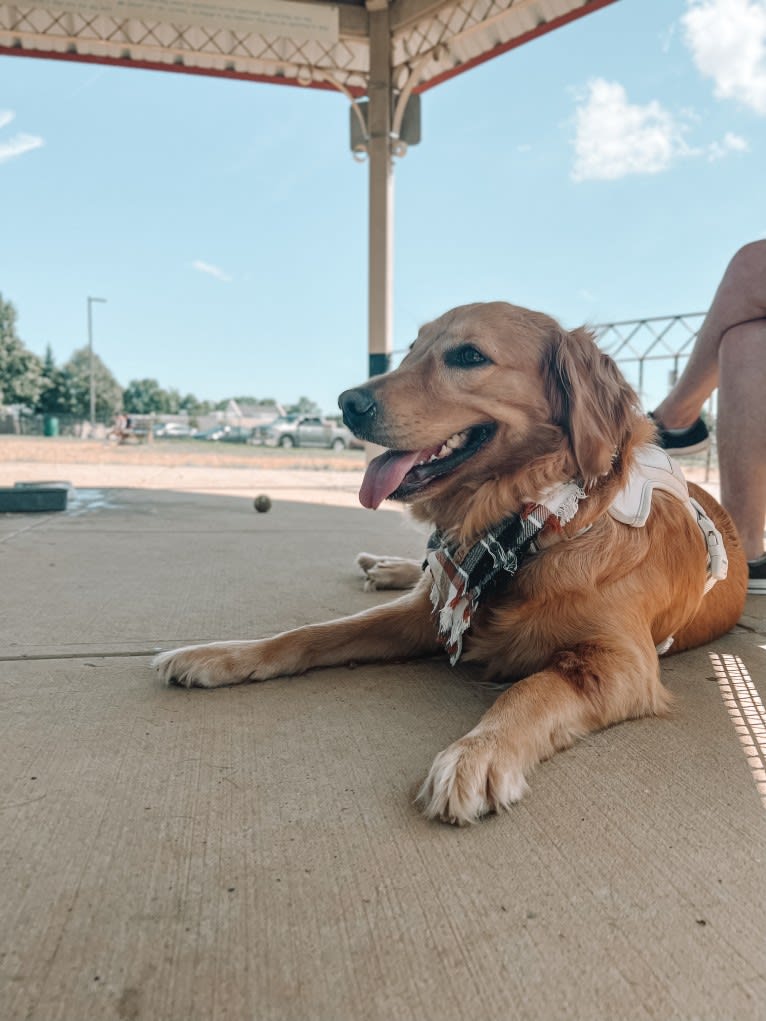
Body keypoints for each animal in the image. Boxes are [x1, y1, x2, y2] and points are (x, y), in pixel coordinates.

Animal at [156, 300, 751, 820]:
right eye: (411, 350)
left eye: (468, 356)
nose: (348, 402)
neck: (532, 525)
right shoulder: (428, 613)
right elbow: (311, 632)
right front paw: (220, 655)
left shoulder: (623, 662)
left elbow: (531, 690)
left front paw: (477, 754)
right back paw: (383, 565)